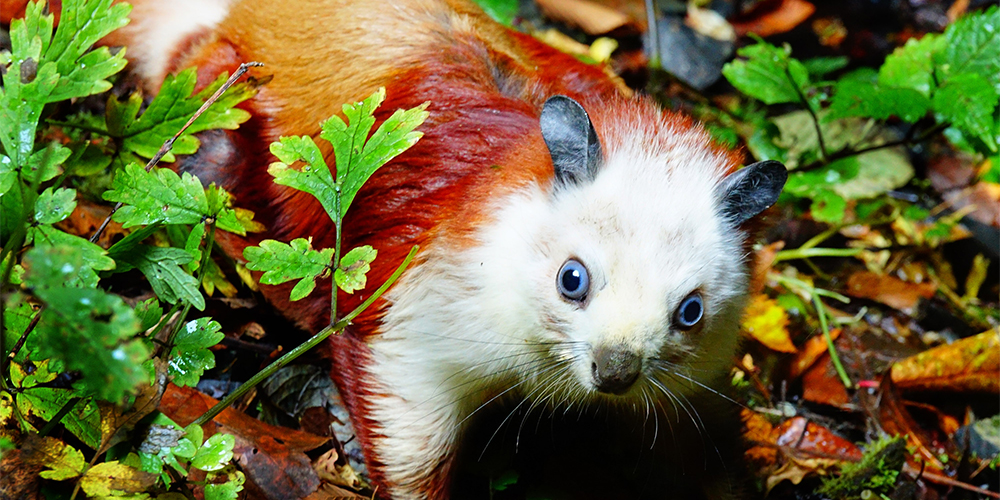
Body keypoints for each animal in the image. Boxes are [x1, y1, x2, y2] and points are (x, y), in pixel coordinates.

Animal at [9, 0, 788, 496]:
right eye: (572, 280)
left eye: (690, 312)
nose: (616, 371)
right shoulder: (422, 306)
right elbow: (405, 423)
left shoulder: (689, 382)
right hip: (216, 101)